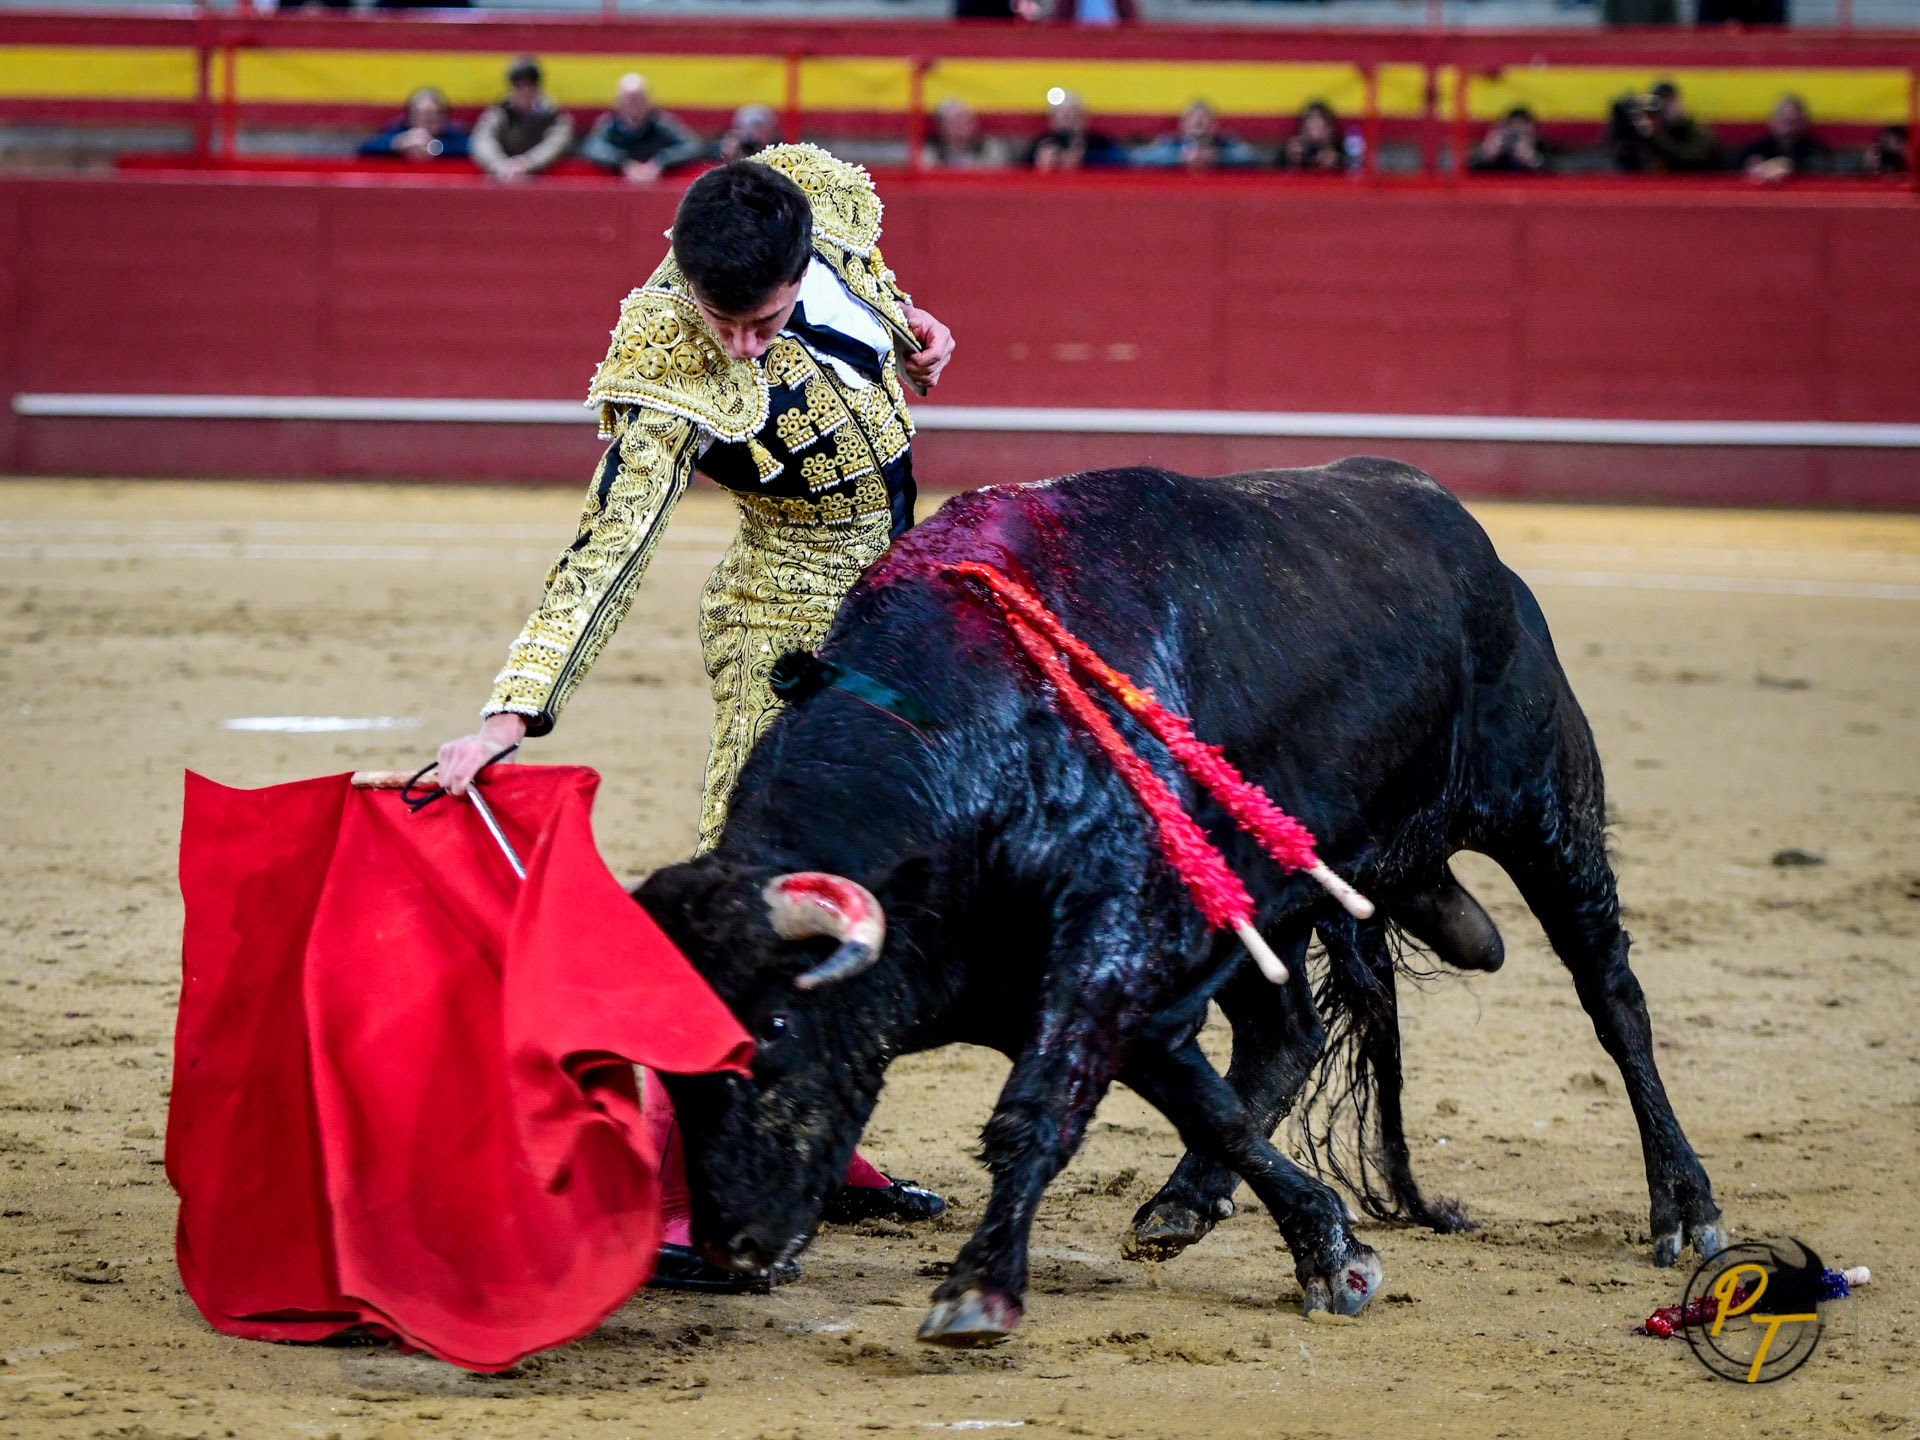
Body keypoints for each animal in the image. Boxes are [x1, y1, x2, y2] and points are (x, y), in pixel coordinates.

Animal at [638, 459, 1725, 1347]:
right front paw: (1330, 1252)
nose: (733, 1246)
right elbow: (1210, 1108)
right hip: (1276, 905)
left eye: (774, 1032)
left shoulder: (1113, 949)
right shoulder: (1102, 979)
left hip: (1548, 811)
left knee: (1614, 1000)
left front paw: (978, 1289)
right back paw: (1183, 1204)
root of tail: (1461, 530)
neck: (967, 739)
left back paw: (1687, 1207)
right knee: (1286, 1039)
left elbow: (1038, 1111)